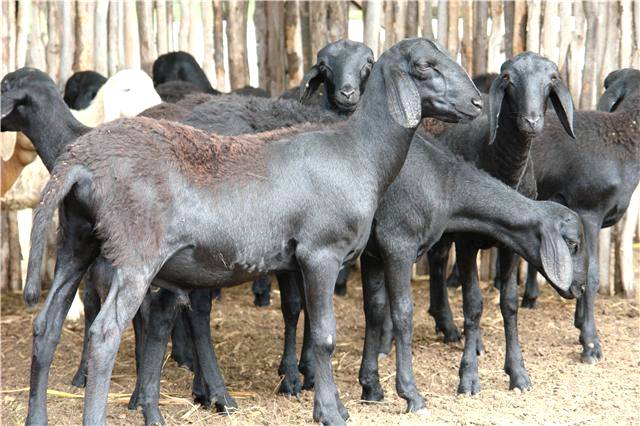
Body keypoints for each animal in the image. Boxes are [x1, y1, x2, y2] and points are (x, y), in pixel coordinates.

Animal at [27, 38, 482, 424]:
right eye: (425, 67)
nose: (477, 101)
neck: (361, 152)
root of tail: (79, 161)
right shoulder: (320, 253)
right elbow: (324, 337)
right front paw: (332, 411)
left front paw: (333, 403)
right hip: (134, 255)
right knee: (104, 335)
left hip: (76, 241)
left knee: (46, 326)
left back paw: (37, 416)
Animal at [422, 51, 576, 394]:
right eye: (509, 80)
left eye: (551, 80)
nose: (531, 121)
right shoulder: (466, 242)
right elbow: (473, 304)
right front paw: (468, 377)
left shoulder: (513, 245)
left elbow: (508, 303)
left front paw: (518, 373)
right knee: (437, 263)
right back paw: (449, 326)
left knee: (437, 261)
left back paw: (451, 327)